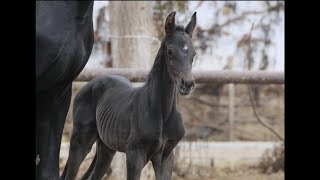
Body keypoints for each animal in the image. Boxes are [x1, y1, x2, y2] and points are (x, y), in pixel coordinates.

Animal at [61, 11, 196, 179]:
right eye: (170, 51)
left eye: (193, 54)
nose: (187, 84)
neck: (162, 113)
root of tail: (86, 87)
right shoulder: (134, 155)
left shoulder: (166, 158)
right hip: (80, 141)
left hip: (106, 149)